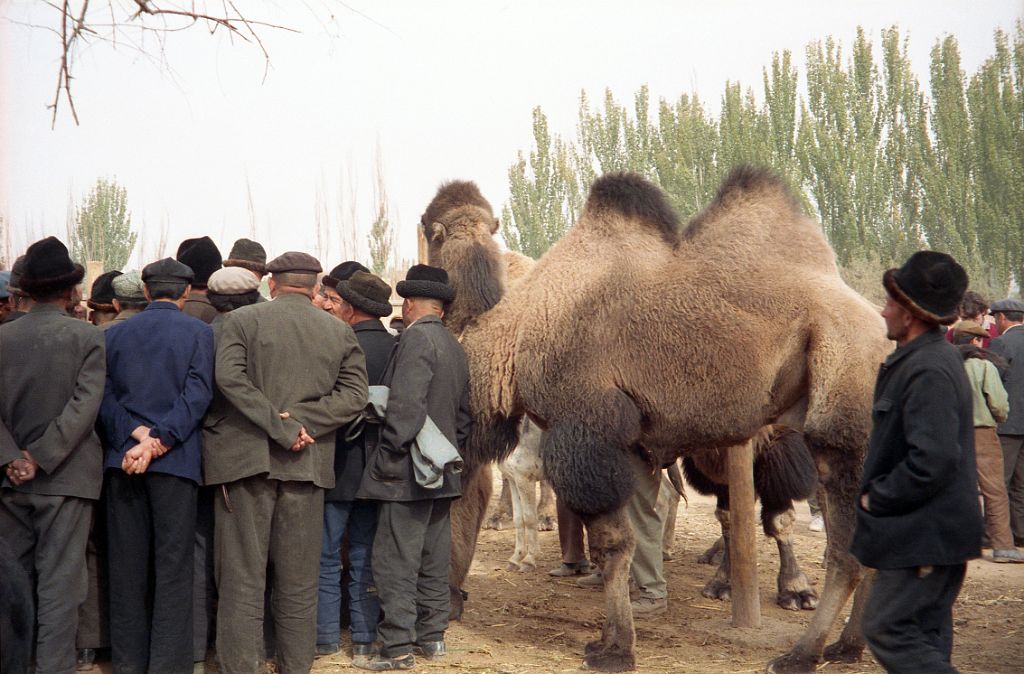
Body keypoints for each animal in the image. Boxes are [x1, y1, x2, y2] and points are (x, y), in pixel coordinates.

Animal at [444, 169, 892, 671]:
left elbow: (612, 544)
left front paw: (615, 649)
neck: (517, 336)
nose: (449, 607)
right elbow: (626, 537)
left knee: (844, 549)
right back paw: (846, 646)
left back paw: (800, 653)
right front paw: (611, 636)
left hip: (841, 414)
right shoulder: (626, 444)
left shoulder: (585, 429)